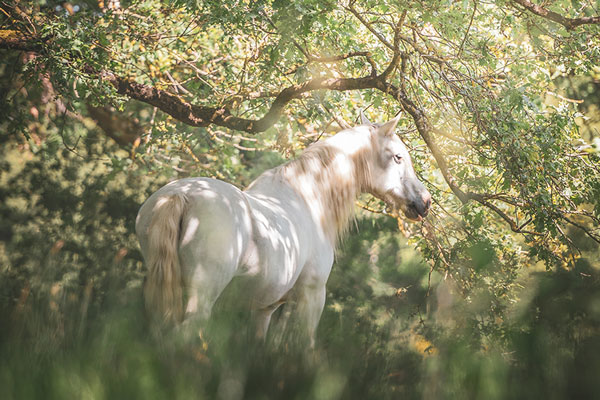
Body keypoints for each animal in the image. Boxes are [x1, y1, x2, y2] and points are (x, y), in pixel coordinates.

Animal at [136, 114, 432, 346]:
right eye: (398, 157)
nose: (425, 202)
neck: (308, 197)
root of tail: (181, 195)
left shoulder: (263, 310)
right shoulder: (312, 297)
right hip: (201, 297)